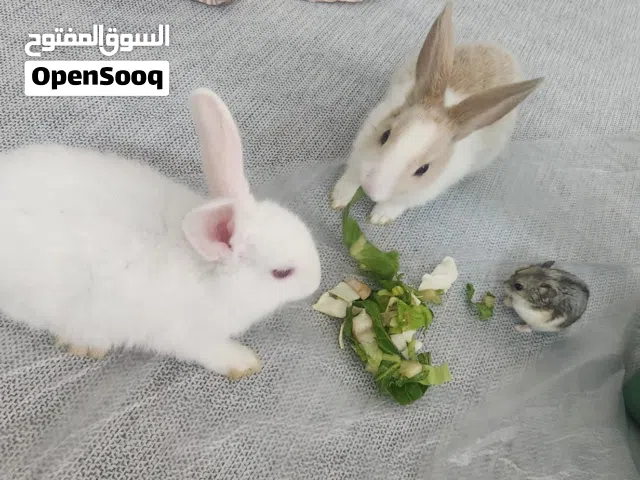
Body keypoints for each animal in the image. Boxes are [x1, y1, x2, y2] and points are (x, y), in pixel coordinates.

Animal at [0, 87, 322, 379]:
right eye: (282, 273)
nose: (317, 282)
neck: (206, 269)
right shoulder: (189, 335)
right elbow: (210, 351)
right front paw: (243, 362)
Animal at [331, 1, 544, 224]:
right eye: (384, 135)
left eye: (423, 170)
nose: (371, 188)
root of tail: (504, 52)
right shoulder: (360, 152)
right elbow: (351, 176)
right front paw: (339, 199)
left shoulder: (423, 192)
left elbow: (398, 203)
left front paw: (379, 218)